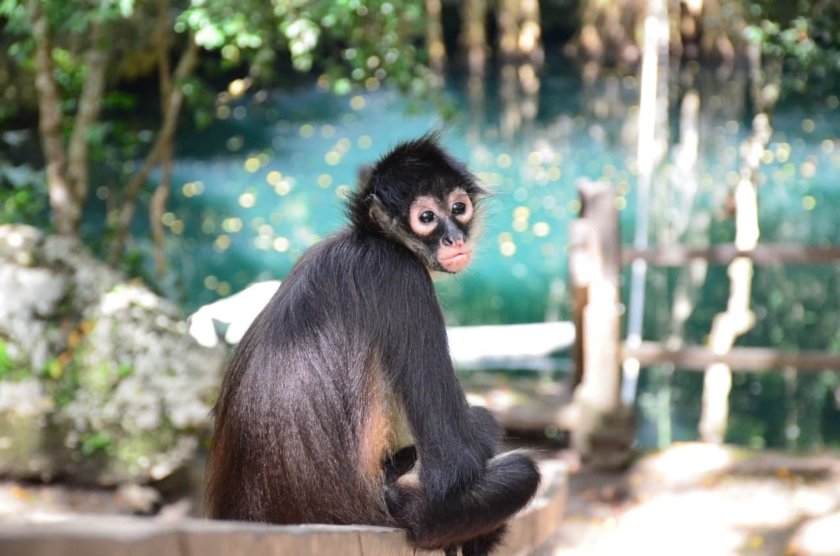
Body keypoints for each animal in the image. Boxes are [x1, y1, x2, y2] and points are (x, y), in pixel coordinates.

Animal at [207, 132, 540, 552]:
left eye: (458, 208)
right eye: (426, 218)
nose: (453, 238)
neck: (372, 240)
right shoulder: (402, 277)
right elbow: (455, 463)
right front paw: (484, 424)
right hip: (415, 512)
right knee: (521, 471)